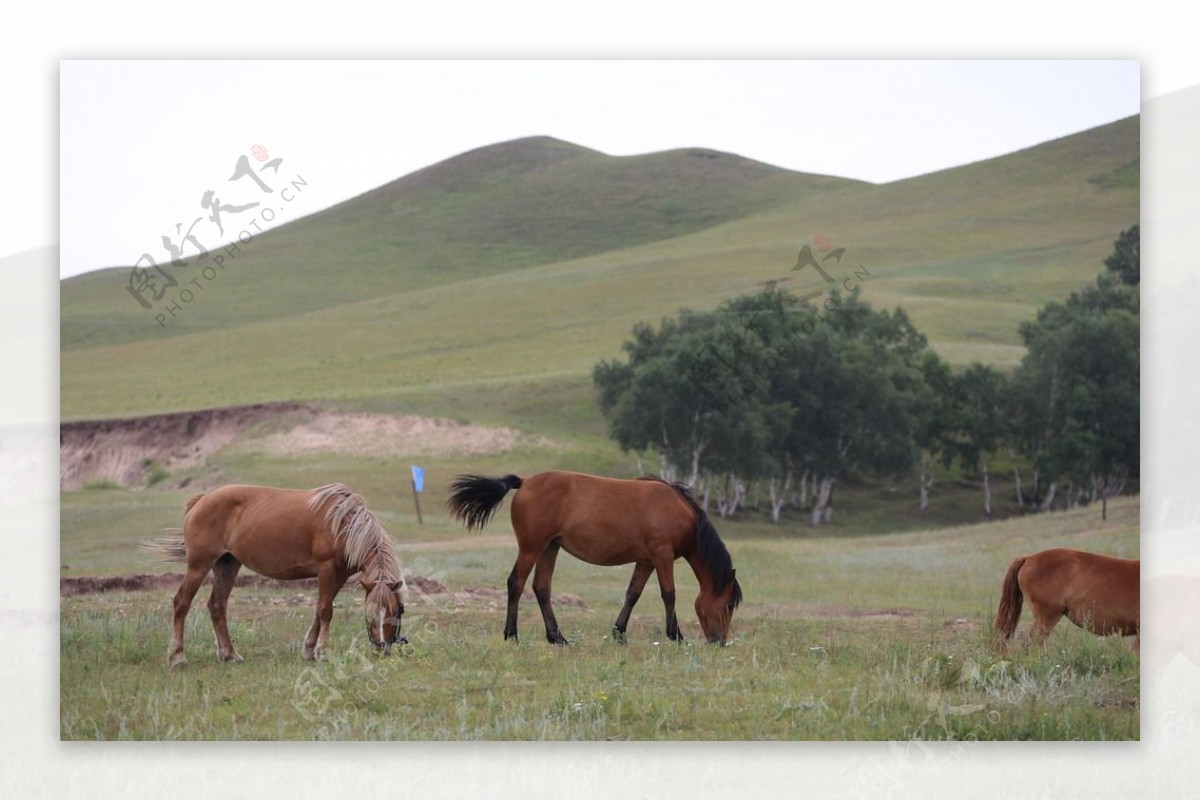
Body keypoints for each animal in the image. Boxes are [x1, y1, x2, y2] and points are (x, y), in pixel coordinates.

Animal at [143, 484, 408, 666]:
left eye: (396, 611)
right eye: (370, 615)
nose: (381, 649)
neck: (343, 523)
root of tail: (201, 500)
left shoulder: (339, 575)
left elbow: (319, 610)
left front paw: (309, 649)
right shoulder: (326, 570)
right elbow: (325, 611)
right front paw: (322, 652)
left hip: (227, 565)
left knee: (217, 605)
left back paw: (230, 654)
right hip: (199, 565)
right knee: (182, 603)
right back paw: (177, 657)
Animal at [444, 472, 739, 647]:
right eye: (727, 606)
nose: (719, 642)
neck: (678, 511)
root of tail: (525, 481)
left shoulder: (645, 561)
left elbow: (633, 594)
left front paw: (619, 633)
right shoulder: (662, 555)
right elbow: (669, 594)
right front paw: (676, 635)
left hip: (550, 548)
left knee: (541, 588)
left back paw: (557, 637)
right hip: (532, 548)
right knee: (516, 583)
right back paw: (512, 634)